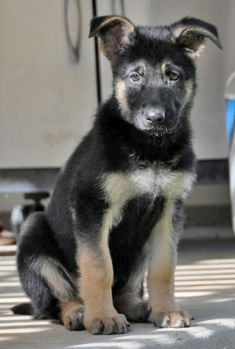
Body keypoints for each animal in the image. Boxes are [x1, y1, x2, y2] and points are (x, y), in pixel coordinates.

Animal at [13, 14, 222, 334]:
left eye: (173, 76)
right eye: (135, 77)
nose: (156, 118)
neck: (150, 147)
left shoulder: (168, 210)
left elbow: (163, 268)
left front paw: (166, 310)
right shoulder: (92, 206)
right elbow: (99, 266)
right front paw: (102, 316)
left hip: (138, 249)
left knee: (124, 290)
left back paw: (138, 306)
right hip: (33, 234)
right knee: (55, 301)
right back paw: (78, 312)